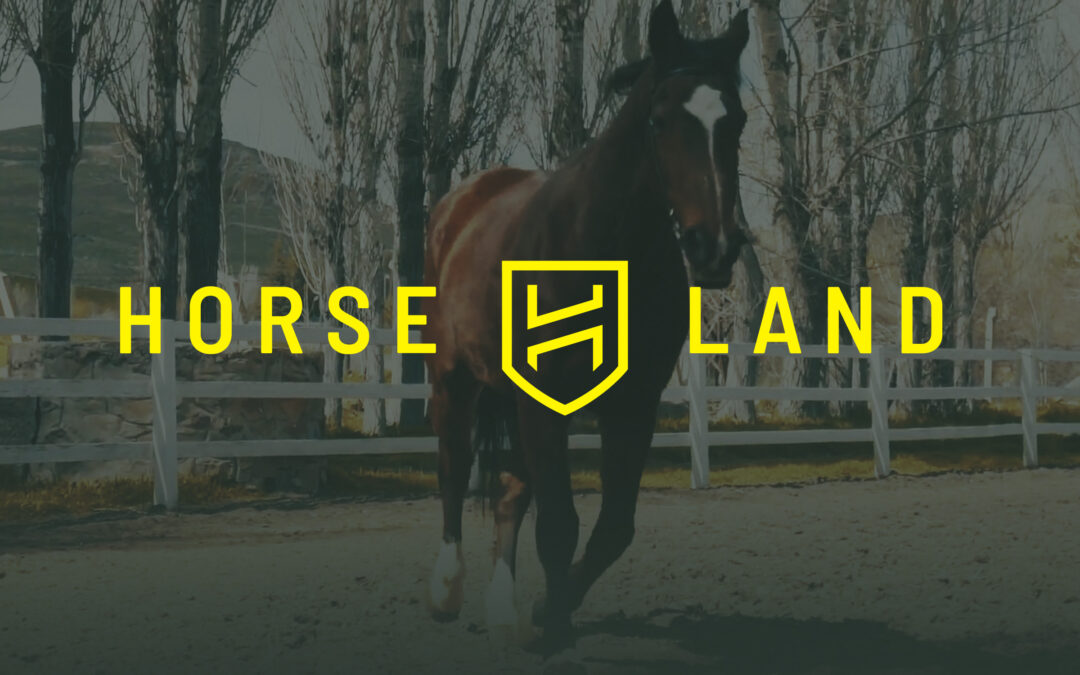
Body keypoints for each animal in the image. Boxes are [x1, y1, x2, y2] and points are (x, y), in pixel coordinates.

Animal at [420, 0, 751, 651]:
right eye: (659, 121)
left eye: (739, 121)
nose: (714, 248)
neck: (601, 248)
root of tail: (461, 205)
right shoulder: (542, 399)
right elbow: (559, 523)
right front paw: (550, 623)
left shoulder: (632, 404)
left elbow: (611, 527)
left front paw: (549, 610)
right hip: (453, 377)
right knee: (453, 469)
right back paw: (445, 591)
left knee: (510, 493)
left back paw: (504, 608)